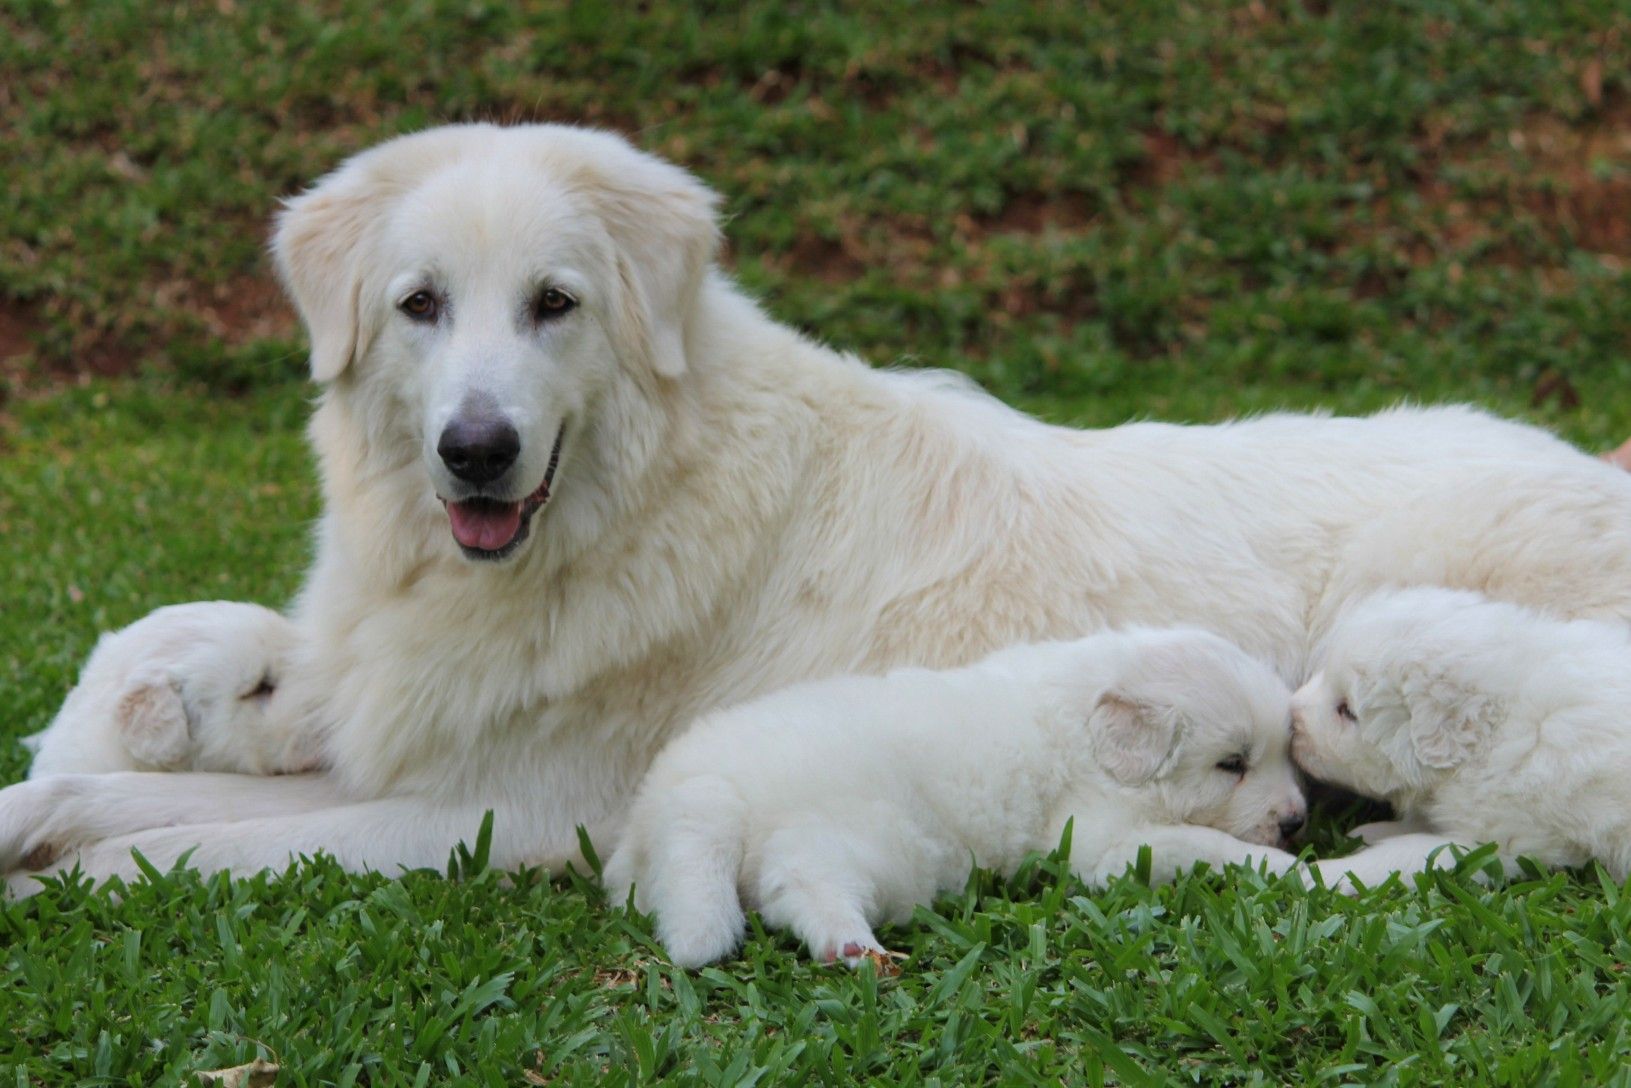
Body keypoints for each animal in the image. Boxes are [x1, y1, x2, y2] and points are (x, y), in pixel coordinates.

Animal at [606, 629, 1304, 972]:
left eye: (1284, 751)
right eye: (1232, 764)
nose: (1298, 820)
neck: (1086, 727)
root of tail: (691, 793)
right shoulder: (1103, 840)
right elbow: (1207, 842)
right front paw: (1295, 869)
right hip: (874, 841)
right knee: (803, 882)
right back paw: (855, 946)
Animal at [1298, 587, 1631, 887]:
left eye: (1347, 711)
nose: (1293, 721)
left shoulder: (1500, 842)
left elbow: (1411, 853)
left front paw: (1321, 874)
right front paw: (1370, 832)